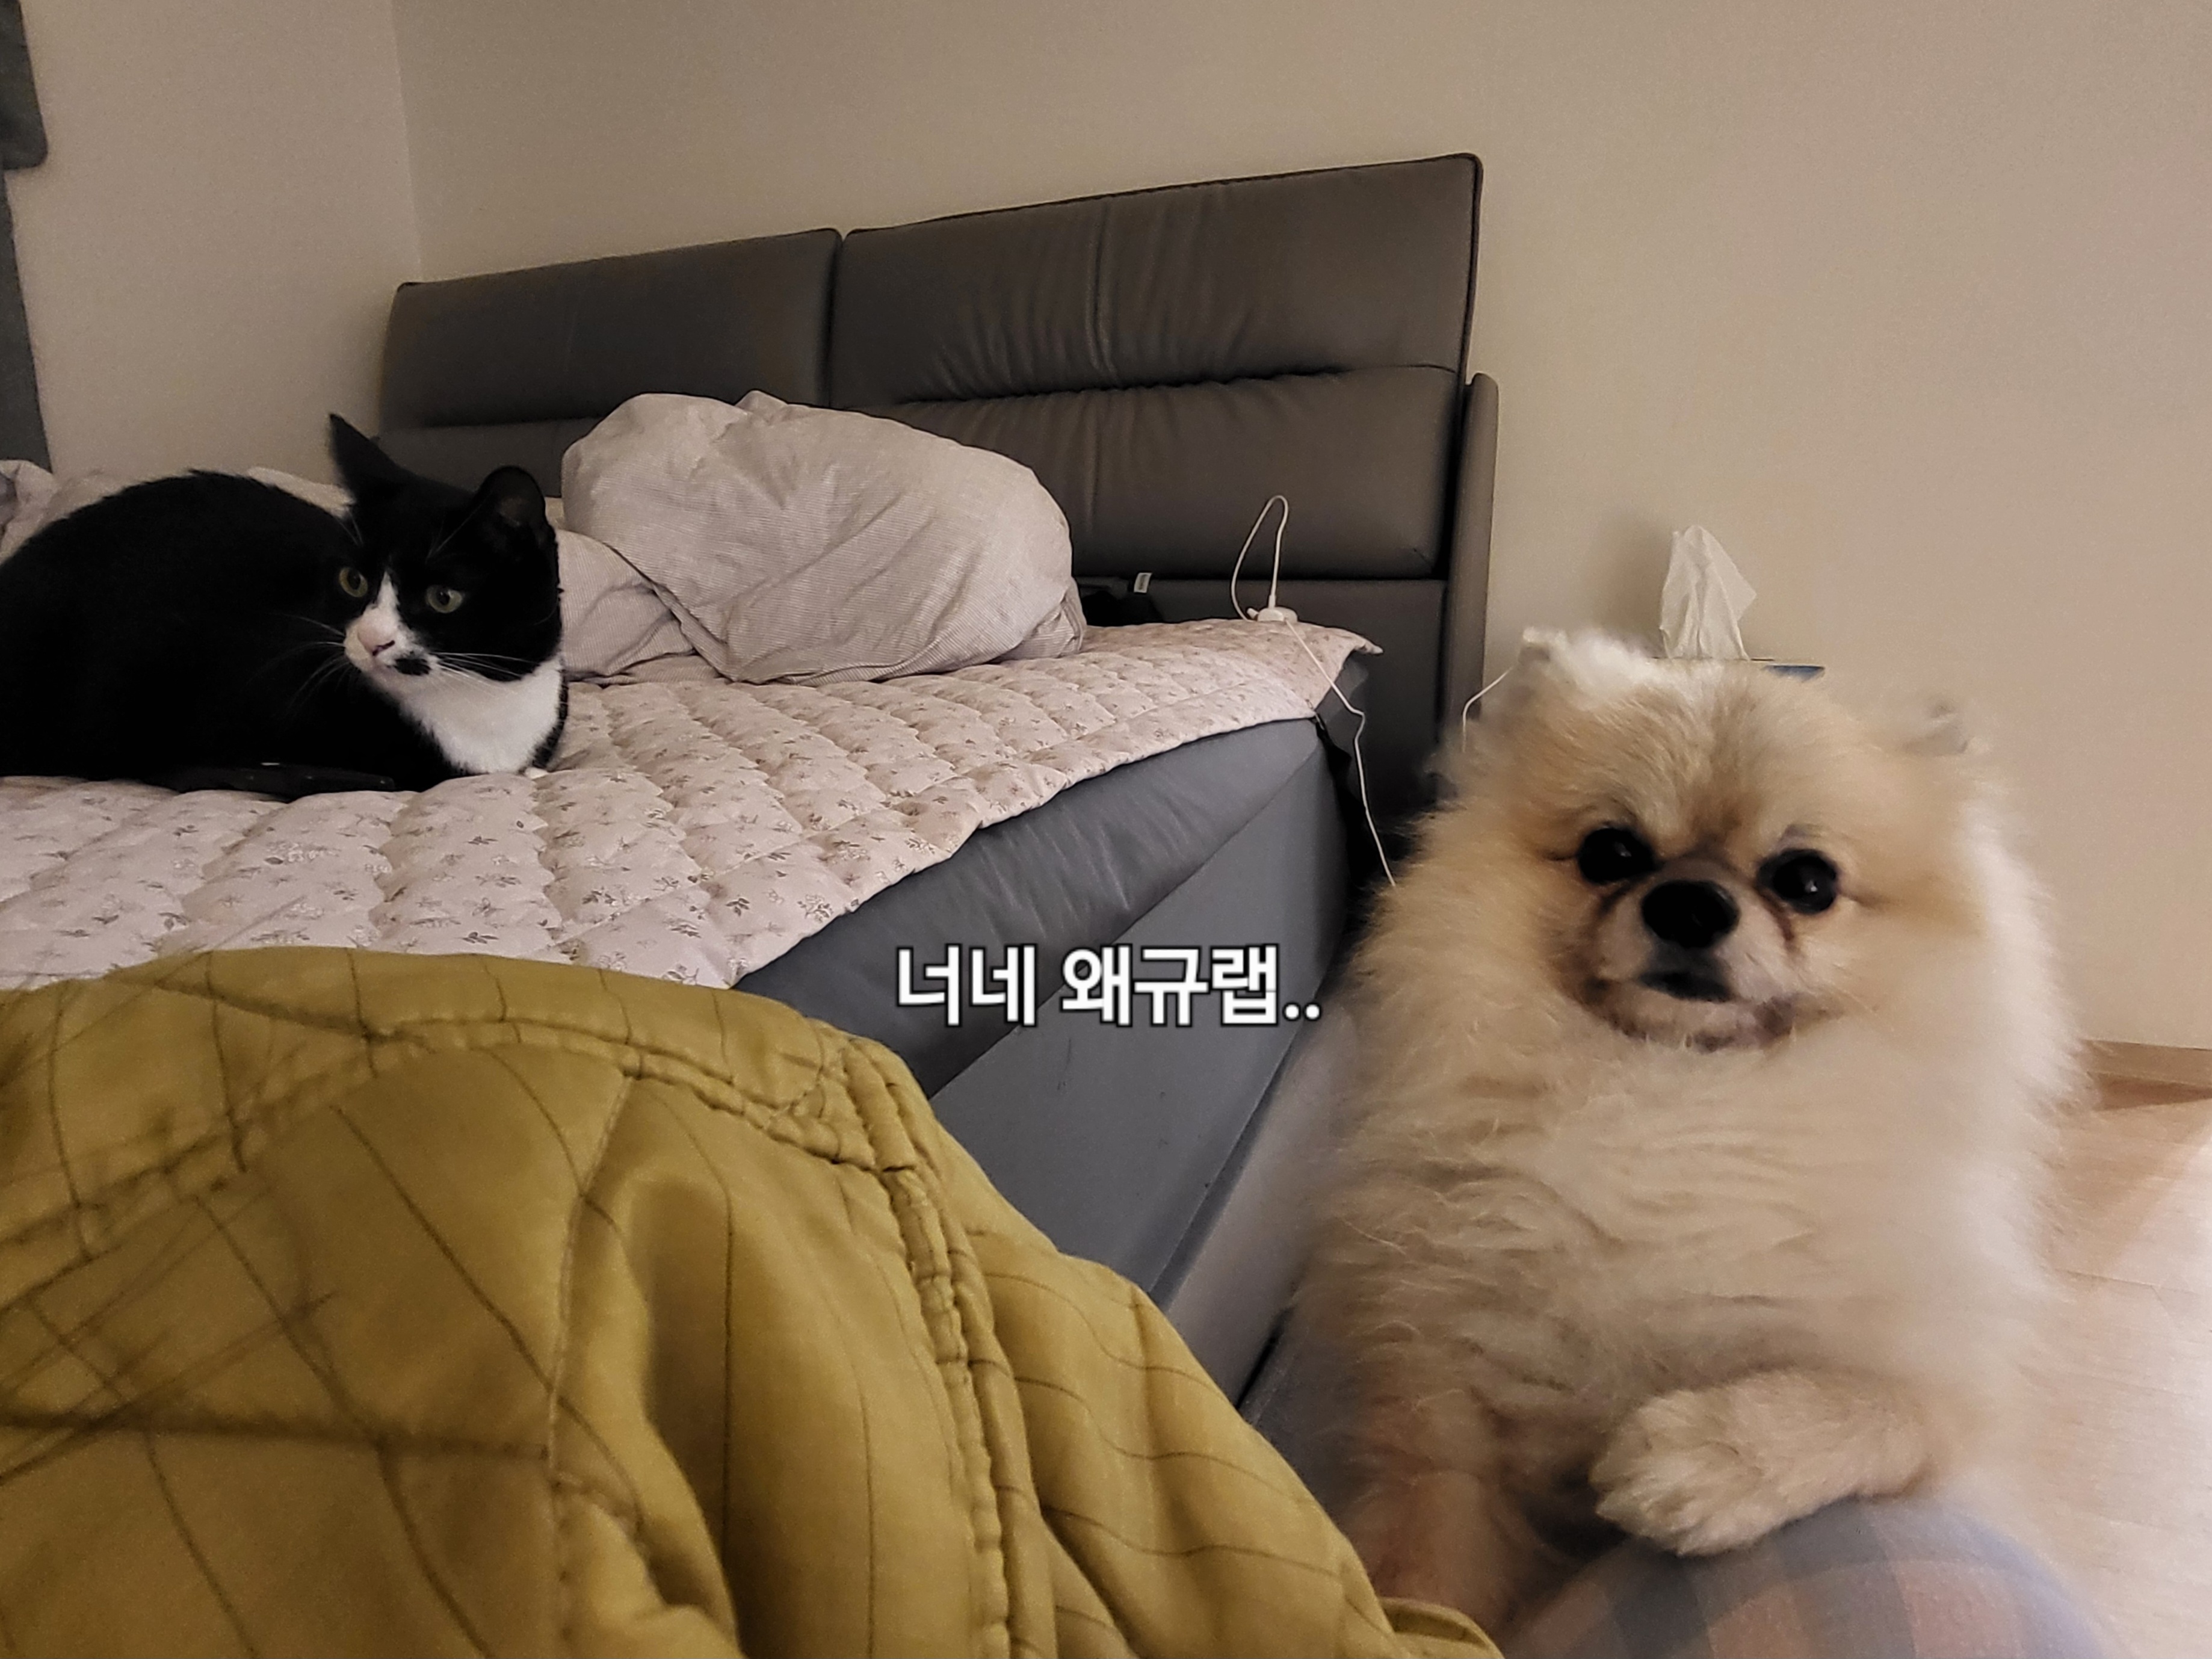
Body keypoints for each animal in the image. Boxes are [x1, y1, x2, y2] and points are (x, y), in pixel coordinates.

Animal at [1305, 631, 2077, 1631]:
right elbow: (1419, 1577)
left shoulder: (1948, 1406)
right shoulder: (1442, 1420)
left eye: (1807, 881)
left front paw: (1709, 1458)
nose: (1691, 902)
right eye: (1611, 851)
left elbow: (1871, 1404)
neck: (1675, 1097)